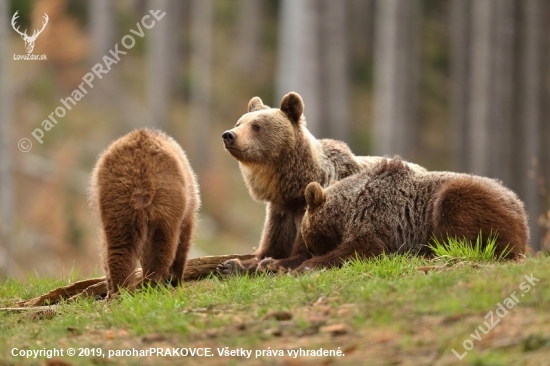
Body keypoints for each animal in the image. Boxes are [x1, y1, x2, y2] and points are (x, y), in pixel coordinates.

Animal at [89, 127, 202, 296]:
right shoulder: (187, 209)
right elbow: (183, 239)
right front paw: (176, 278)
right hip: (166, 198)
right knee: (162, 244)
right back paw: (154, 284)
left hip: (117, 199)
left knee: (120, 245)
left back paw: (121, 291)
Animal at [219, 91, 426, 274]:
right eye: (239, 123)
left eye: (256, 126)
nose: (229, 135)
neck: (292, 187)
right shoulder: (281, 212)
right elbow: (273, 245)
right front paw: (232, 265)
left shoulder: (315, 210)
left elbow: (306, 252)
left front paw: (271, 264)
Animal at [298, 156, 532, 270]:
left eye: (308, 239)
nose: (310, 252)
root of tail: (520, 206)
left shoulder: (377, 216)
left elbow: (364, 248)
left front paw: (305, 266)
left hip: (463, 199)